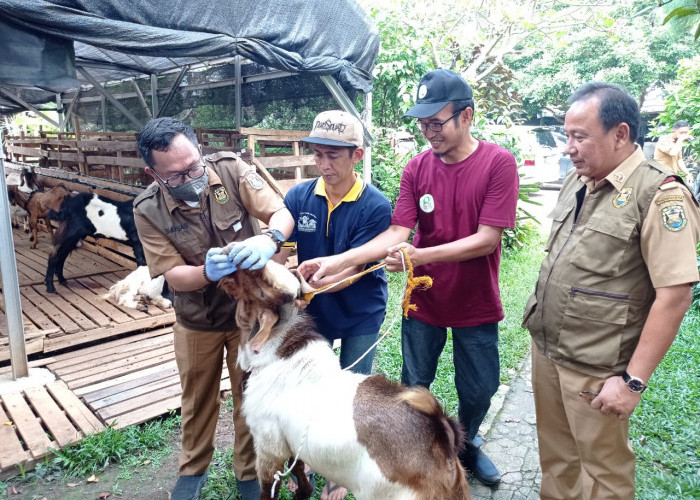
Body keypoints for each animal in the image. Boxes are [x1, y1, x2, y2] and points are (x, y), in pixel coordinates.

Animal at [219, 262, 470, 500]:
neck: (281, 356)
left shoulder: (268, 444)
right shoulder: (290, 440)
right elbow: (298, 466)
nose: (228, 267)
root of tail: (443, 440)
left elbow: (270, 487)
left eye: (261, 290)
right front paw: (303, 492)